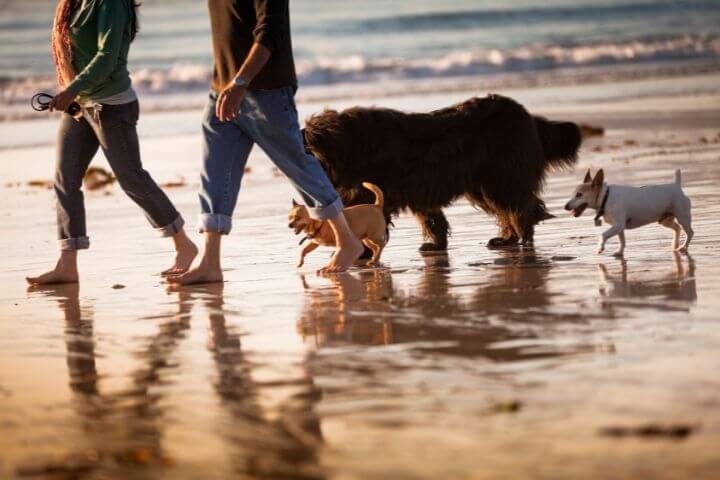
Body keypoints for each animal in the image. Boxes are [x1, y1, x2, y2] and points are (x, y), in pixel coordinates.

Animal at [300, 94, 584, 251]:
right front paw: (436, 245)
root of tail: (526, 114)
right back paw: (508, 238)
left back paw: (521, 236)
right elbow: (432, 219)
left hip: (502, 176)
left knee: (520, 206)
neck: (352, 144)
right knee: (513, 208)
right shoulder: (417, 189)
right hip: (485, 183)